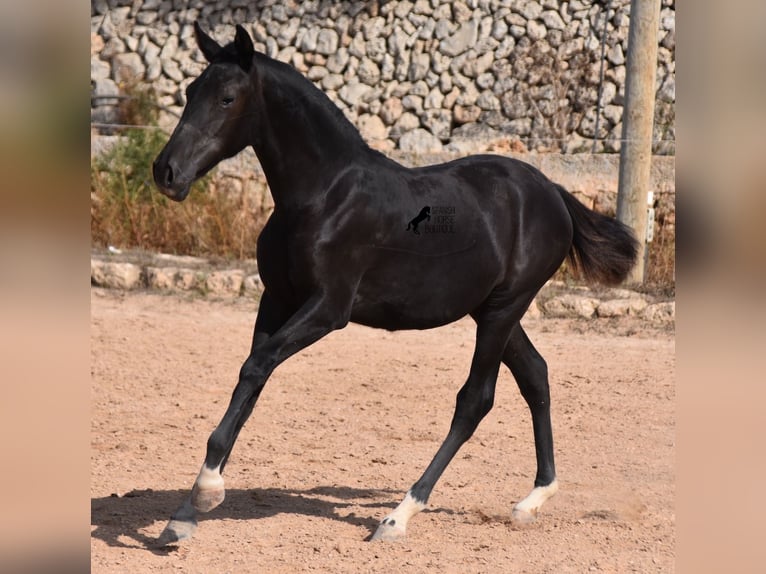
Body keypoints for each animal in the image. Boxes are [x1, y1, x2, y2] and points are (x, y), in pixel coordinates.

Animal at [153, 21, 640, 544]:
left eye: (226, 98)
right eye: (190, 92)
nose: (166, 172)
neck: (324, 195)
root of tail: (551, 192)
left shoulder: (328, 308)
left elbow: (256, 366)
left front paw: (205, 491)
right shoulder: (276, 298)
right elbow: (252, 378)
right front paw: (185, 513)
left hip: (504, 308)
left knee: (475, 400)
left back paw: (398, 516)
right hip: (491, 309)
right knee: (536, 375)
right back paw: (532, 500)